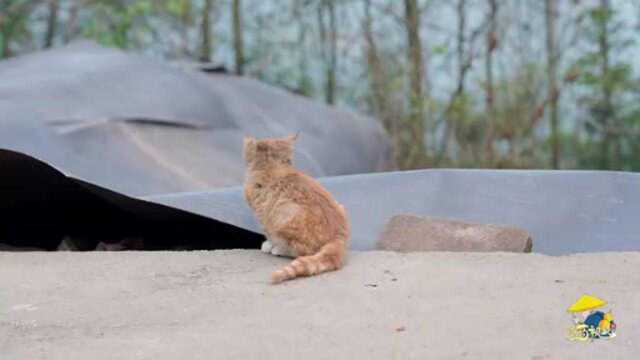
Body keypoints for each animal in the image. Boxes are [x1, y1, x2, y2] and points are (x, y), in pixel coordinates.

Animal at [244, 134, 350, 282]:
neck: (274, 167)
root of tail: (339, 235)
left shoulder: (264, 213)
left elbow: (268, 232)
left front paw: (271, 245)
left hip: (286, 215)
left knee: (303, 252)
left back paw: (280, 250)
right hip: (341, 206)